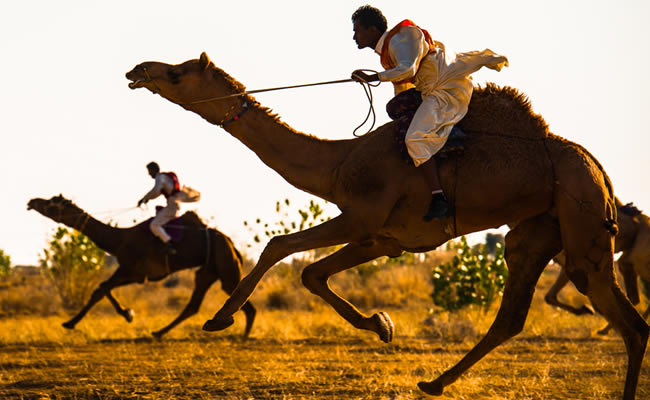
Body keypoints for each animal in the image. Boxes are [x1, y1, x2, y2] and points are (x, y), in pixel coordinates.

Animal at [27, 195, 256, 340]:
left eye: (53, 203)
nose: (32, 201)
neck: (118, 239)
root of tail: (233, 245)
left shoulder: (135, 272)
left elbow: (101, 289)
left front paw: (71, 323)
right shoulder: (133, 273)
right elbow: (102, 288)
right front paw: (127, 313)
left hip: (224, 263)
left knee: (238, 297)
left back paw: (243, 337)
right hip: (208, 269)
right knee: (196, 303)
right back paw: (159, 332)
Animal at [124, 52, 644, 396]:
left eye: (176, 73)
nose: (138, 70)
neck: (336, 163)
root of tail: (597, 166)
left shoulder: (361, 216)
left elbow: (280, 247)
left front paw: (219, 318)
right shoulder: (383, 238)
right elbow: (311, 273)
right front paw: (382, 325)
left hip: (579, 209)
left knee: (616, 308)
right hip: (538, 226)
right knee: (518, 313)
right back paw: (433, 382)